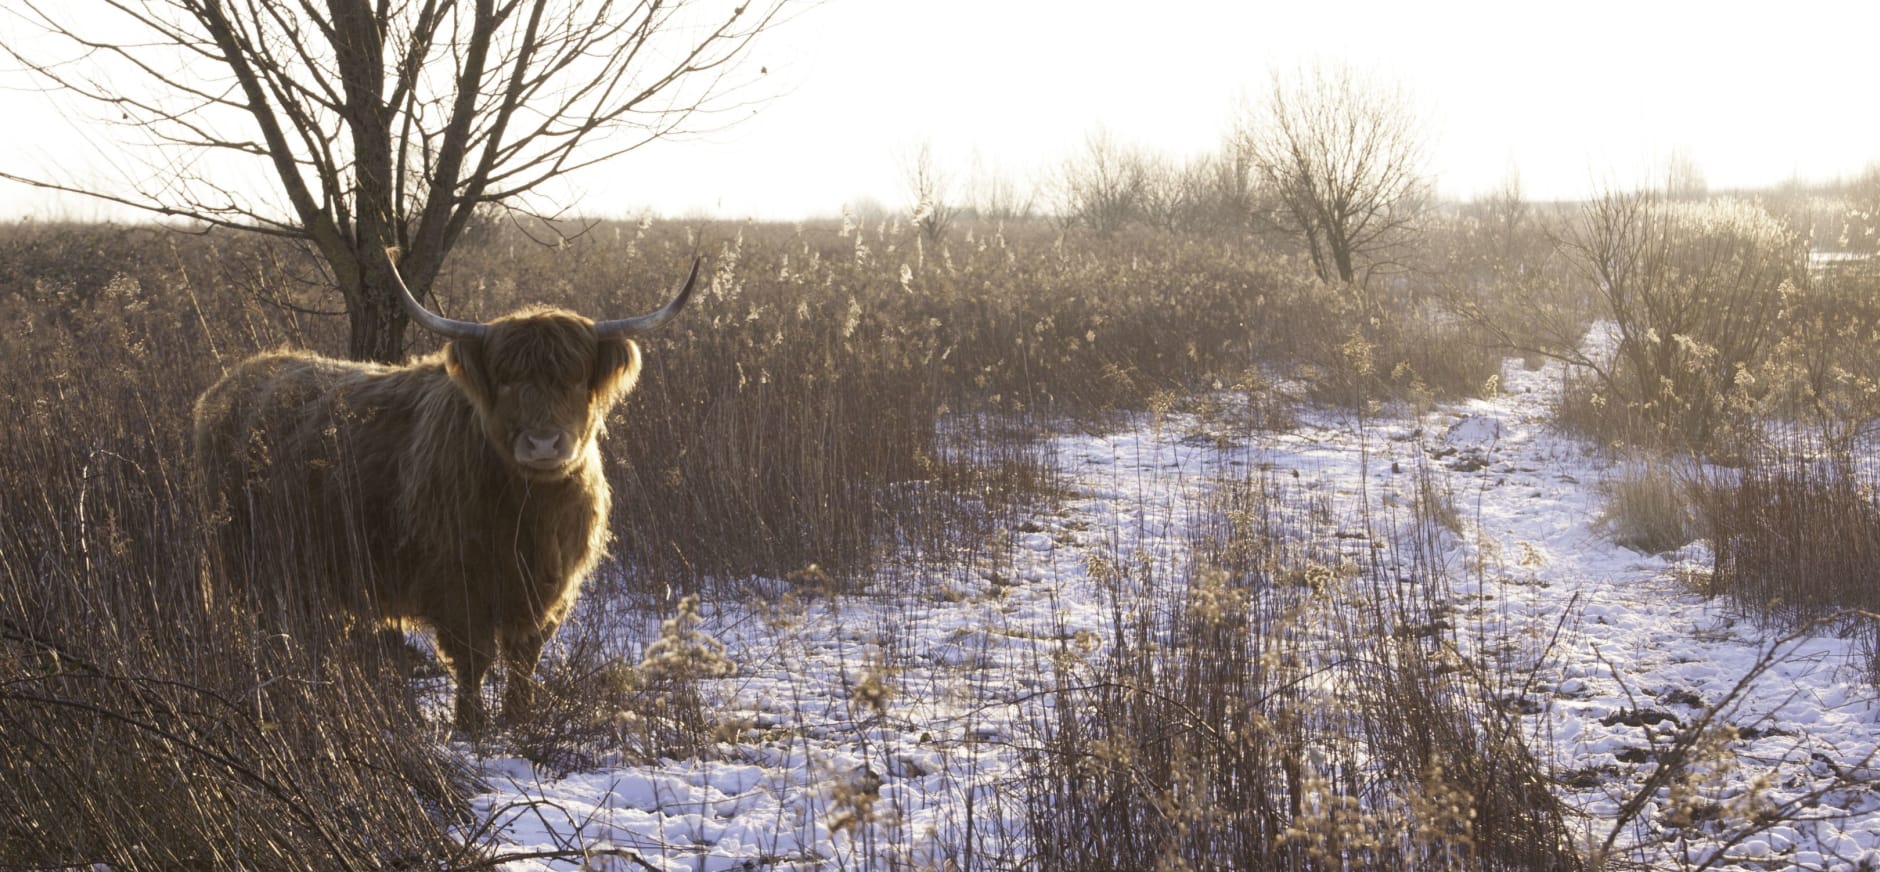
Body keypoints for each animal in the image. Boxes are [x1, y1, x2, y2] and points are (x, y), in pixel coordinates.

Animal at [192, 251, 699, 729]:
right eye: (507, 380)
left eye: (575, 380)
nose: (542, 443)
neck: (530, 511)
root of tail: (229, 386)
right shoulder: (455, 581)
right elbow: (473, 658)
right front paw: (470, 725)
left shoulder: (549, 589)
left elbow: (524, 657)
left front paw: (519, 716)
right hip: (244, 562)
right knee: (263, 628)